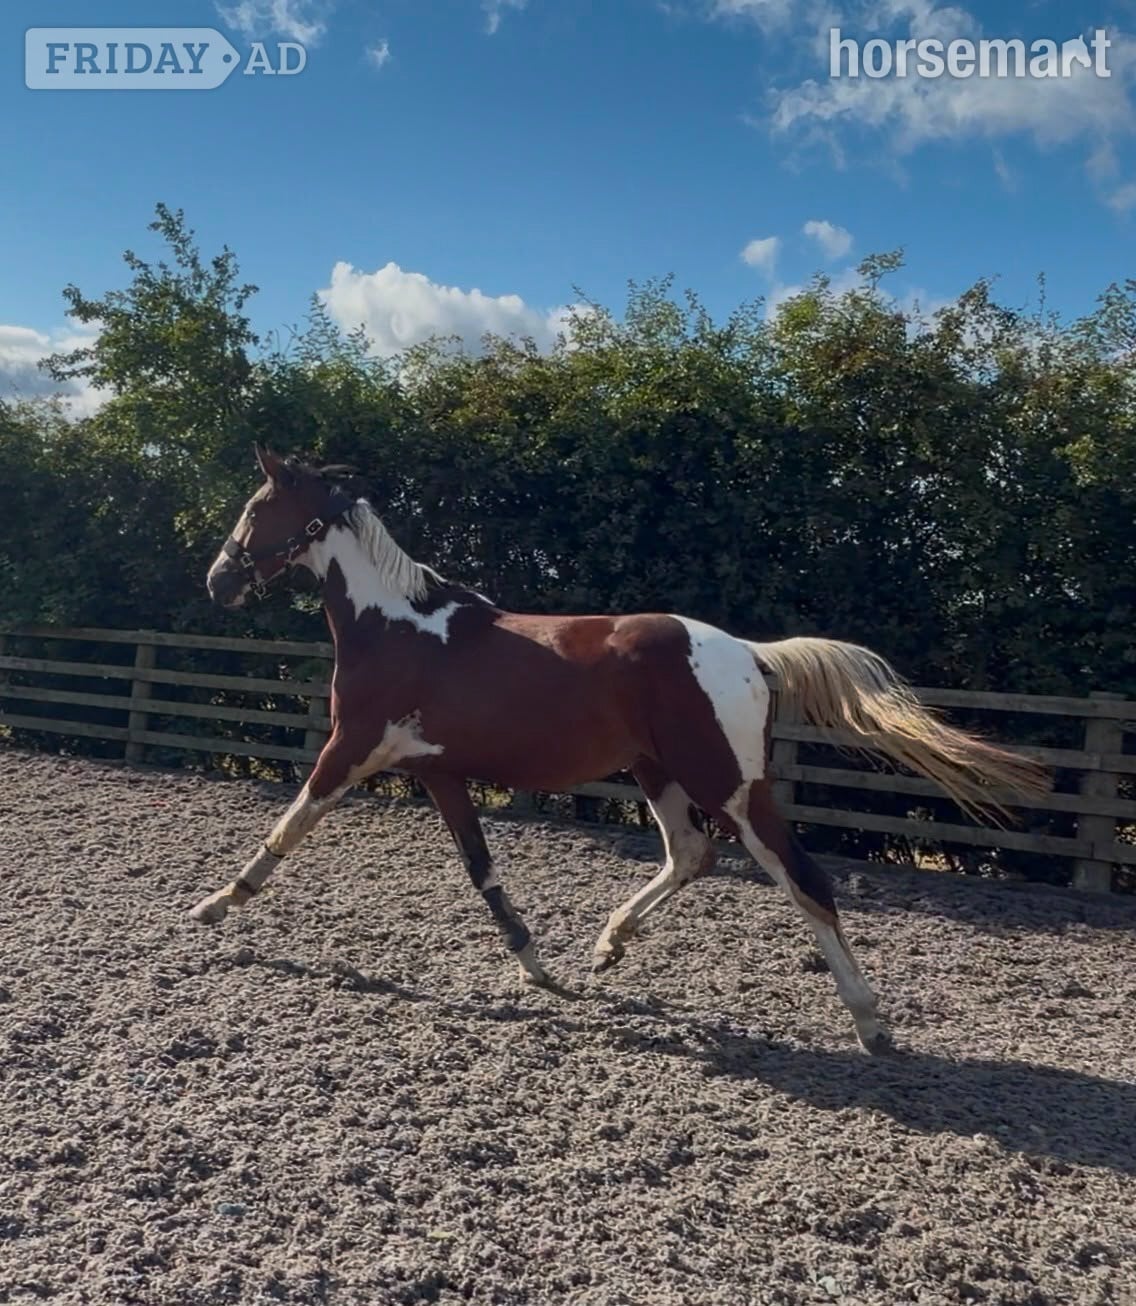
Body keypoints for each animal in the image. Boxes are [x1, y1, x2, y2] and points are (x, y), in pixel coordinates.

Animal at [194, 444, 1050, 1053]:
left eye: (256, 506)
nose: (217, 581)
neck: (399, 627)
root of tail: (751, 653)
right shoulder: (439, 773)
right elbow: (483, 873)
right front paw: (539, 968)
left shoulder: (351, 748)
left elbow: (288, 827)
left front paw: (213, 905)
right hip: (656, 771)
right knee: (691, 854)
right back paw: (609, 944)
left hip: (729, 784)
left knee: (803, 880)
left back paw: (871, 1024)